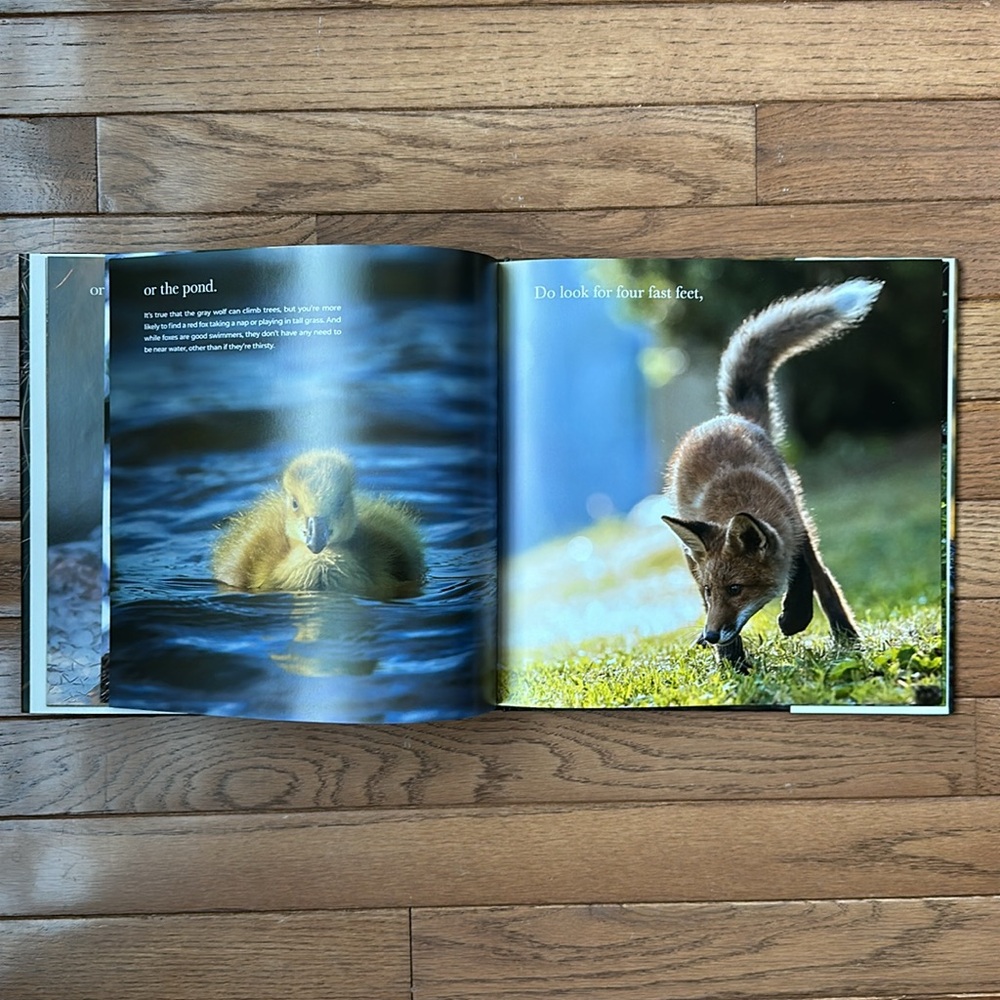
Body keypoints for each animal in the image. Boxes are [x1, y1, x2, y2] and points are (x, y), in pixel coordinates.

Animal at [661, 278, 884, 670]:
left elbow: (803, 576)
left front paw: (794, 618)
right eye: (710, 591)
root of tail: (733, 417)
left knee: (827, 585)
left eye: (736, 589)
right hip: (691, 554)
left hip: (805, 522)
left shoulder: (795, 529)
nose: (711, 634)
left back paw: (847, 639)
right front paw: (732, 662)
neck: (738, 500)